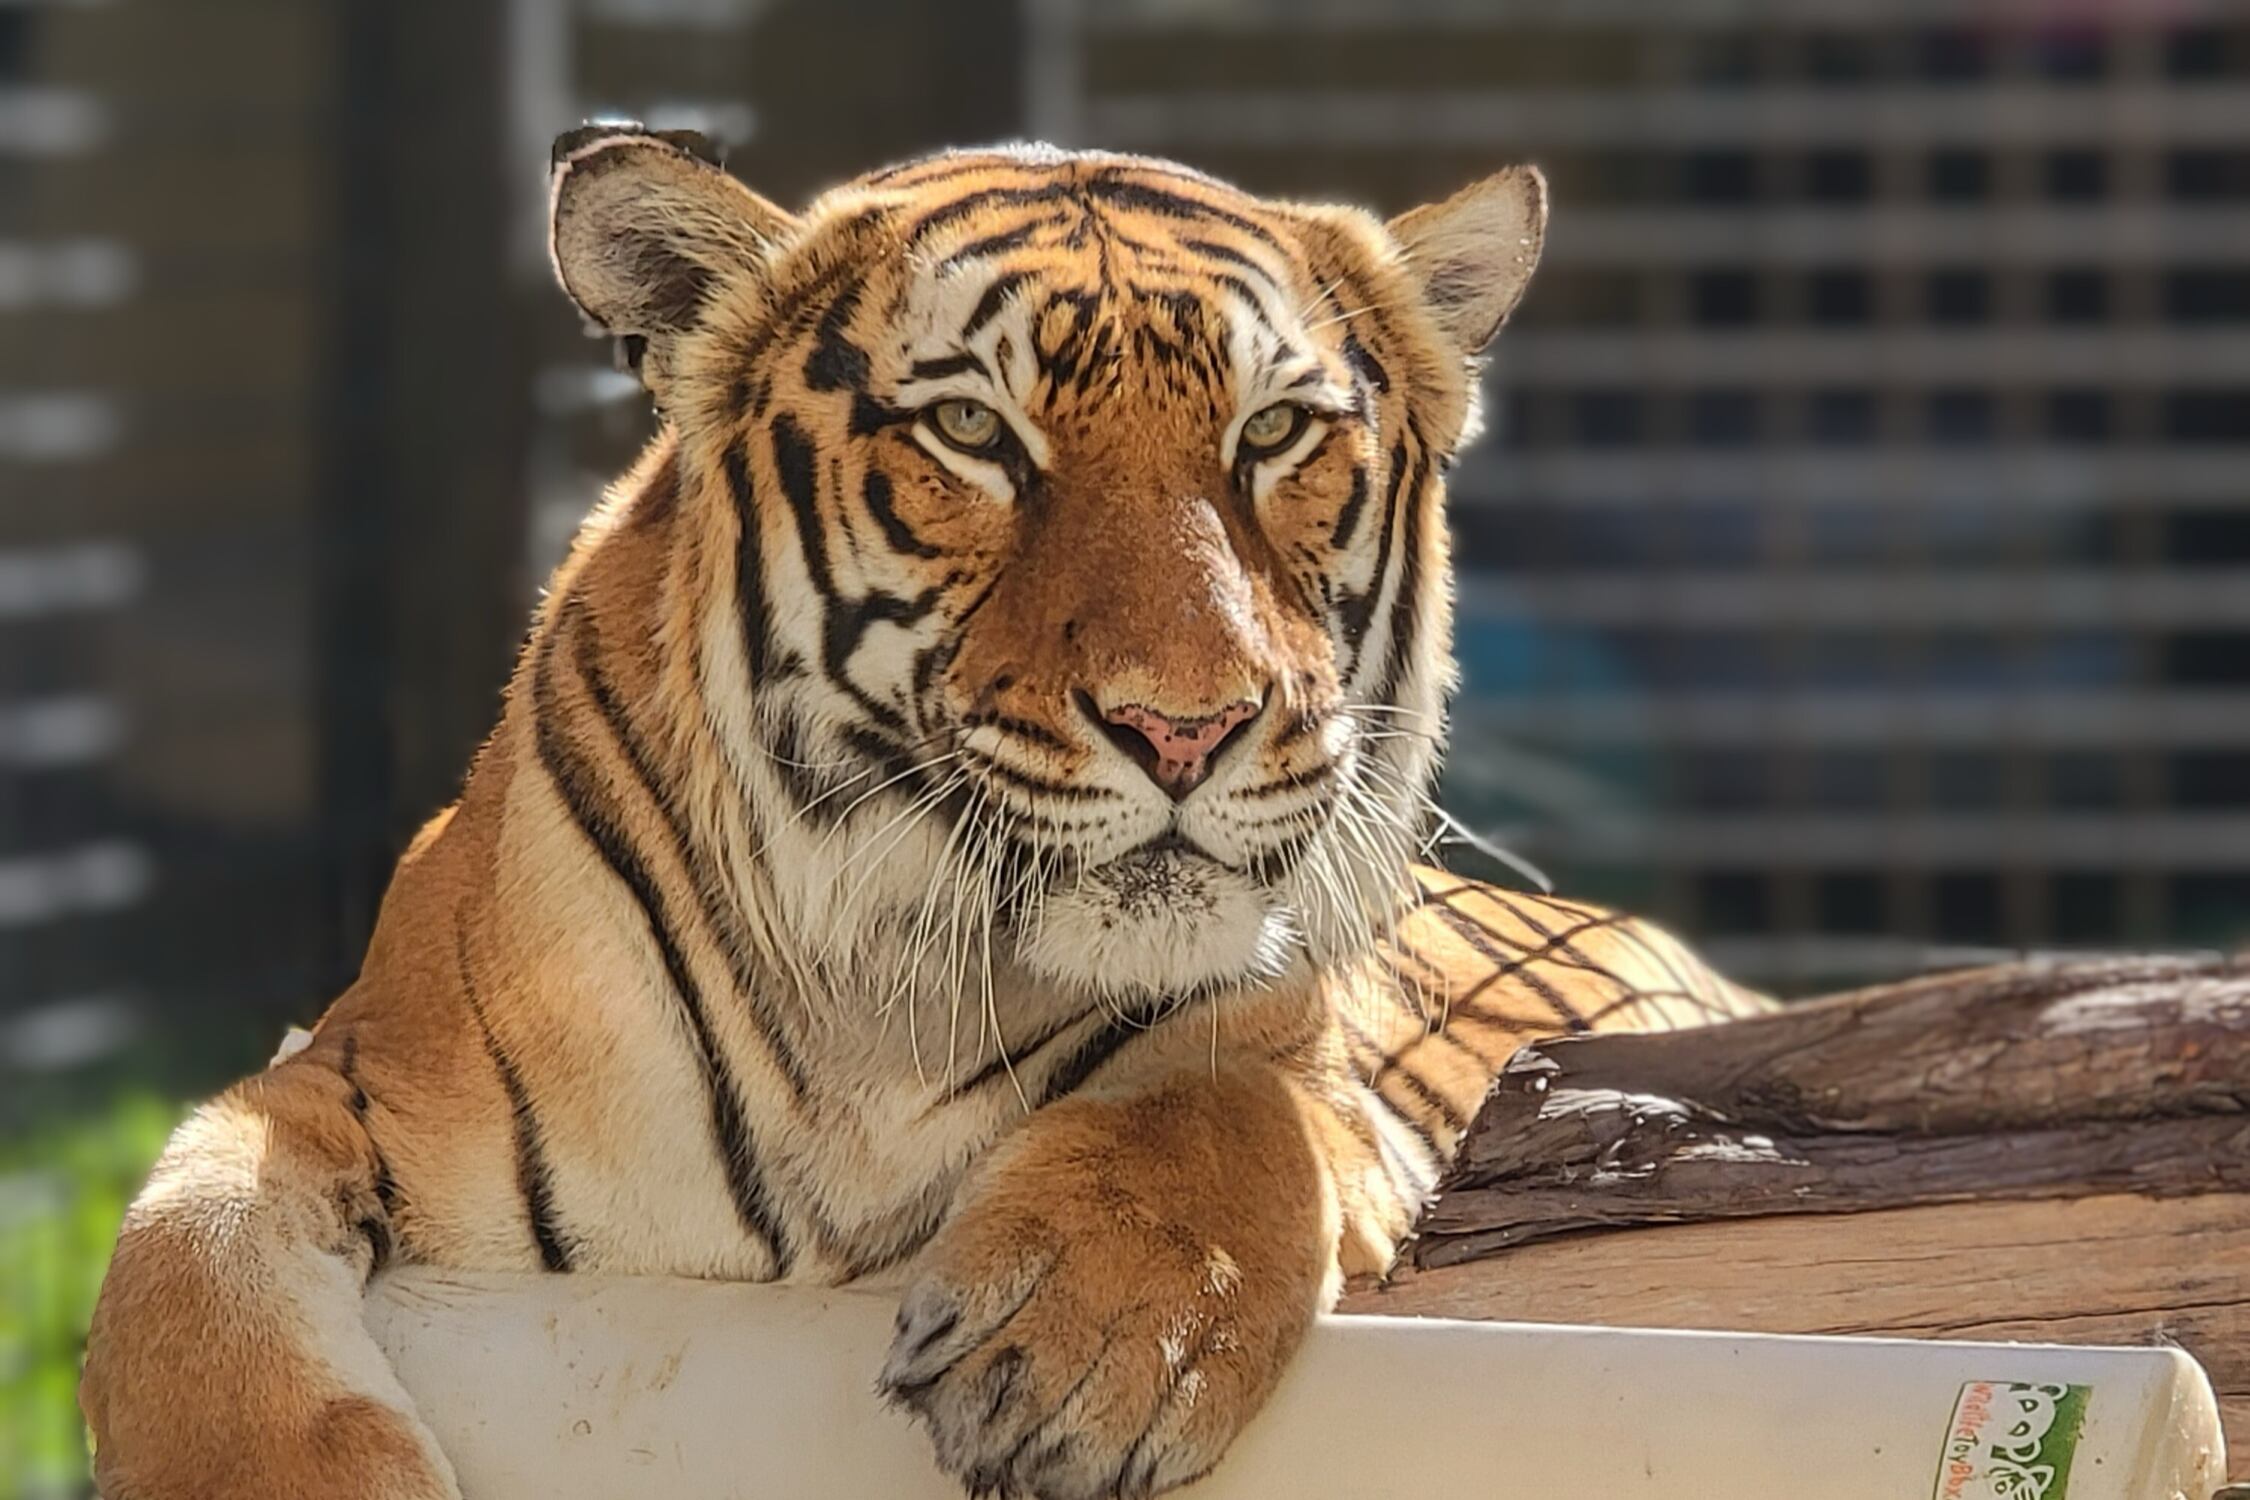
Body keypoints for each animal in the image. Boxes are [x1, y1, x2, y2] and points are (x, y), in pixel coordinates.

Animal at [79, 129, 1769, 1500]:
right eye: (972, 435)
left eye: (1275, 435)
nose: (1187, 724)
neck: (879, 1013)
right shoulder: (341, 1074)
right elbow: (180, 1258)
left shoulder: (1317, 1058)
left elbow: (1229, 1098)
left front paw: (1086, 1345)